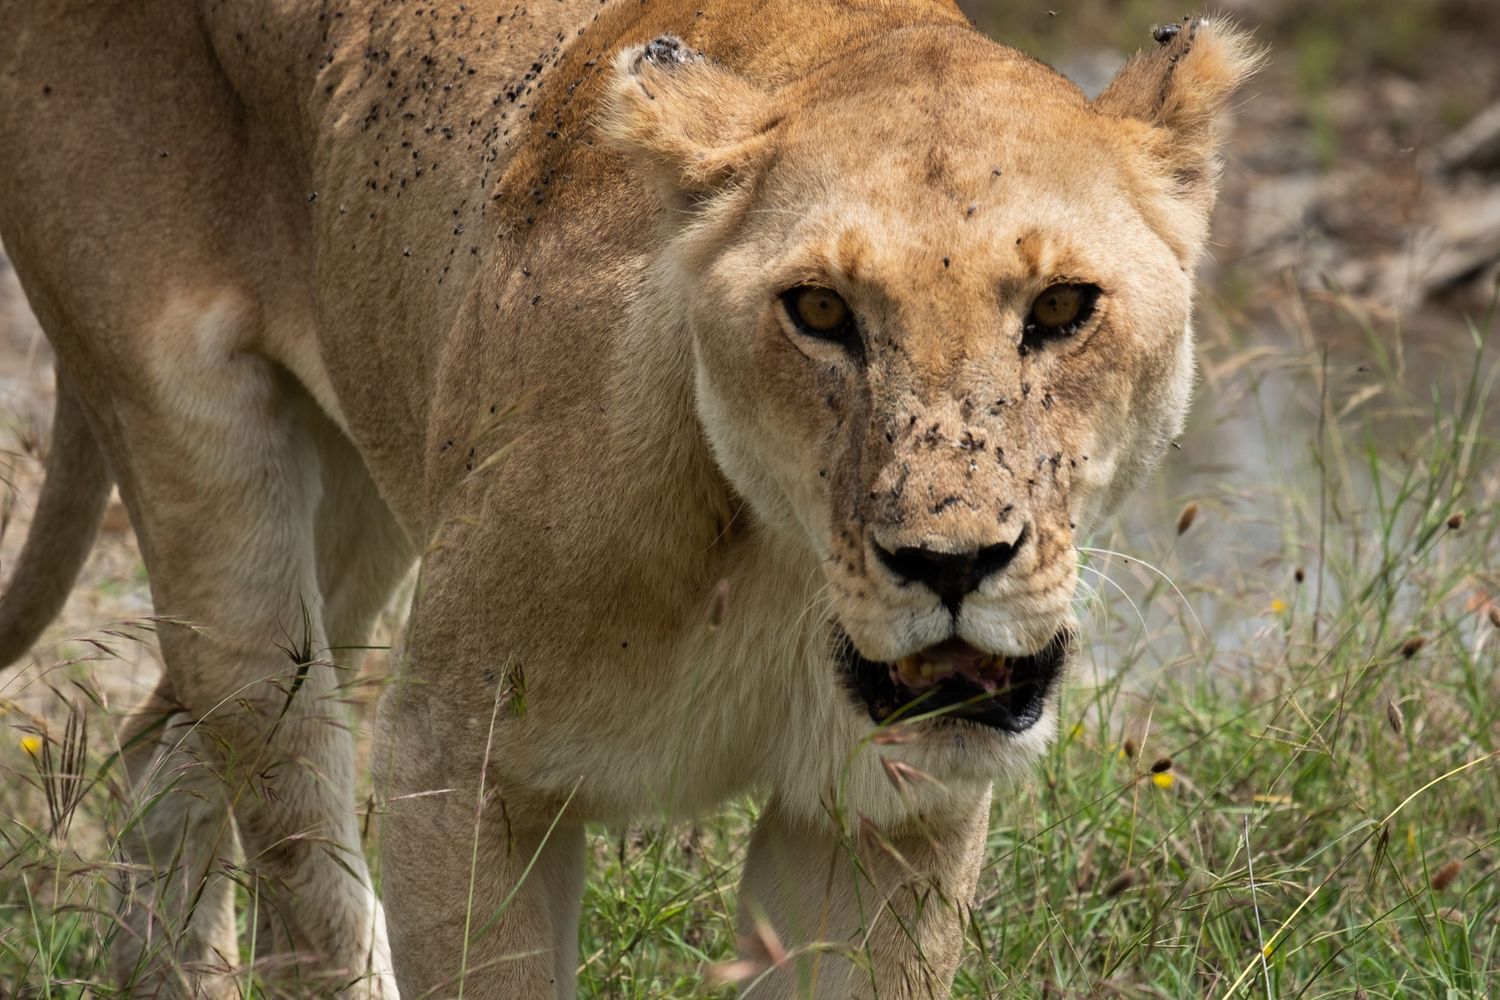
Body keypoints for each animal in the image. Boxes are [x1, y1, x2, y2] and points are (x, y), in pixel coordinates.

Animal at [0, 2, 1257, 996]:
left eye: (1061, 307)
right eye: (819, 309)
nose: (948, 563)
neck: (784, 575)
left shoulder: (881, 822)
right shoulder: (459, 767)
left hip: (363, 491)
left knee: (162, 739)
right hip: (199, 455)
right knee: (291, 834)